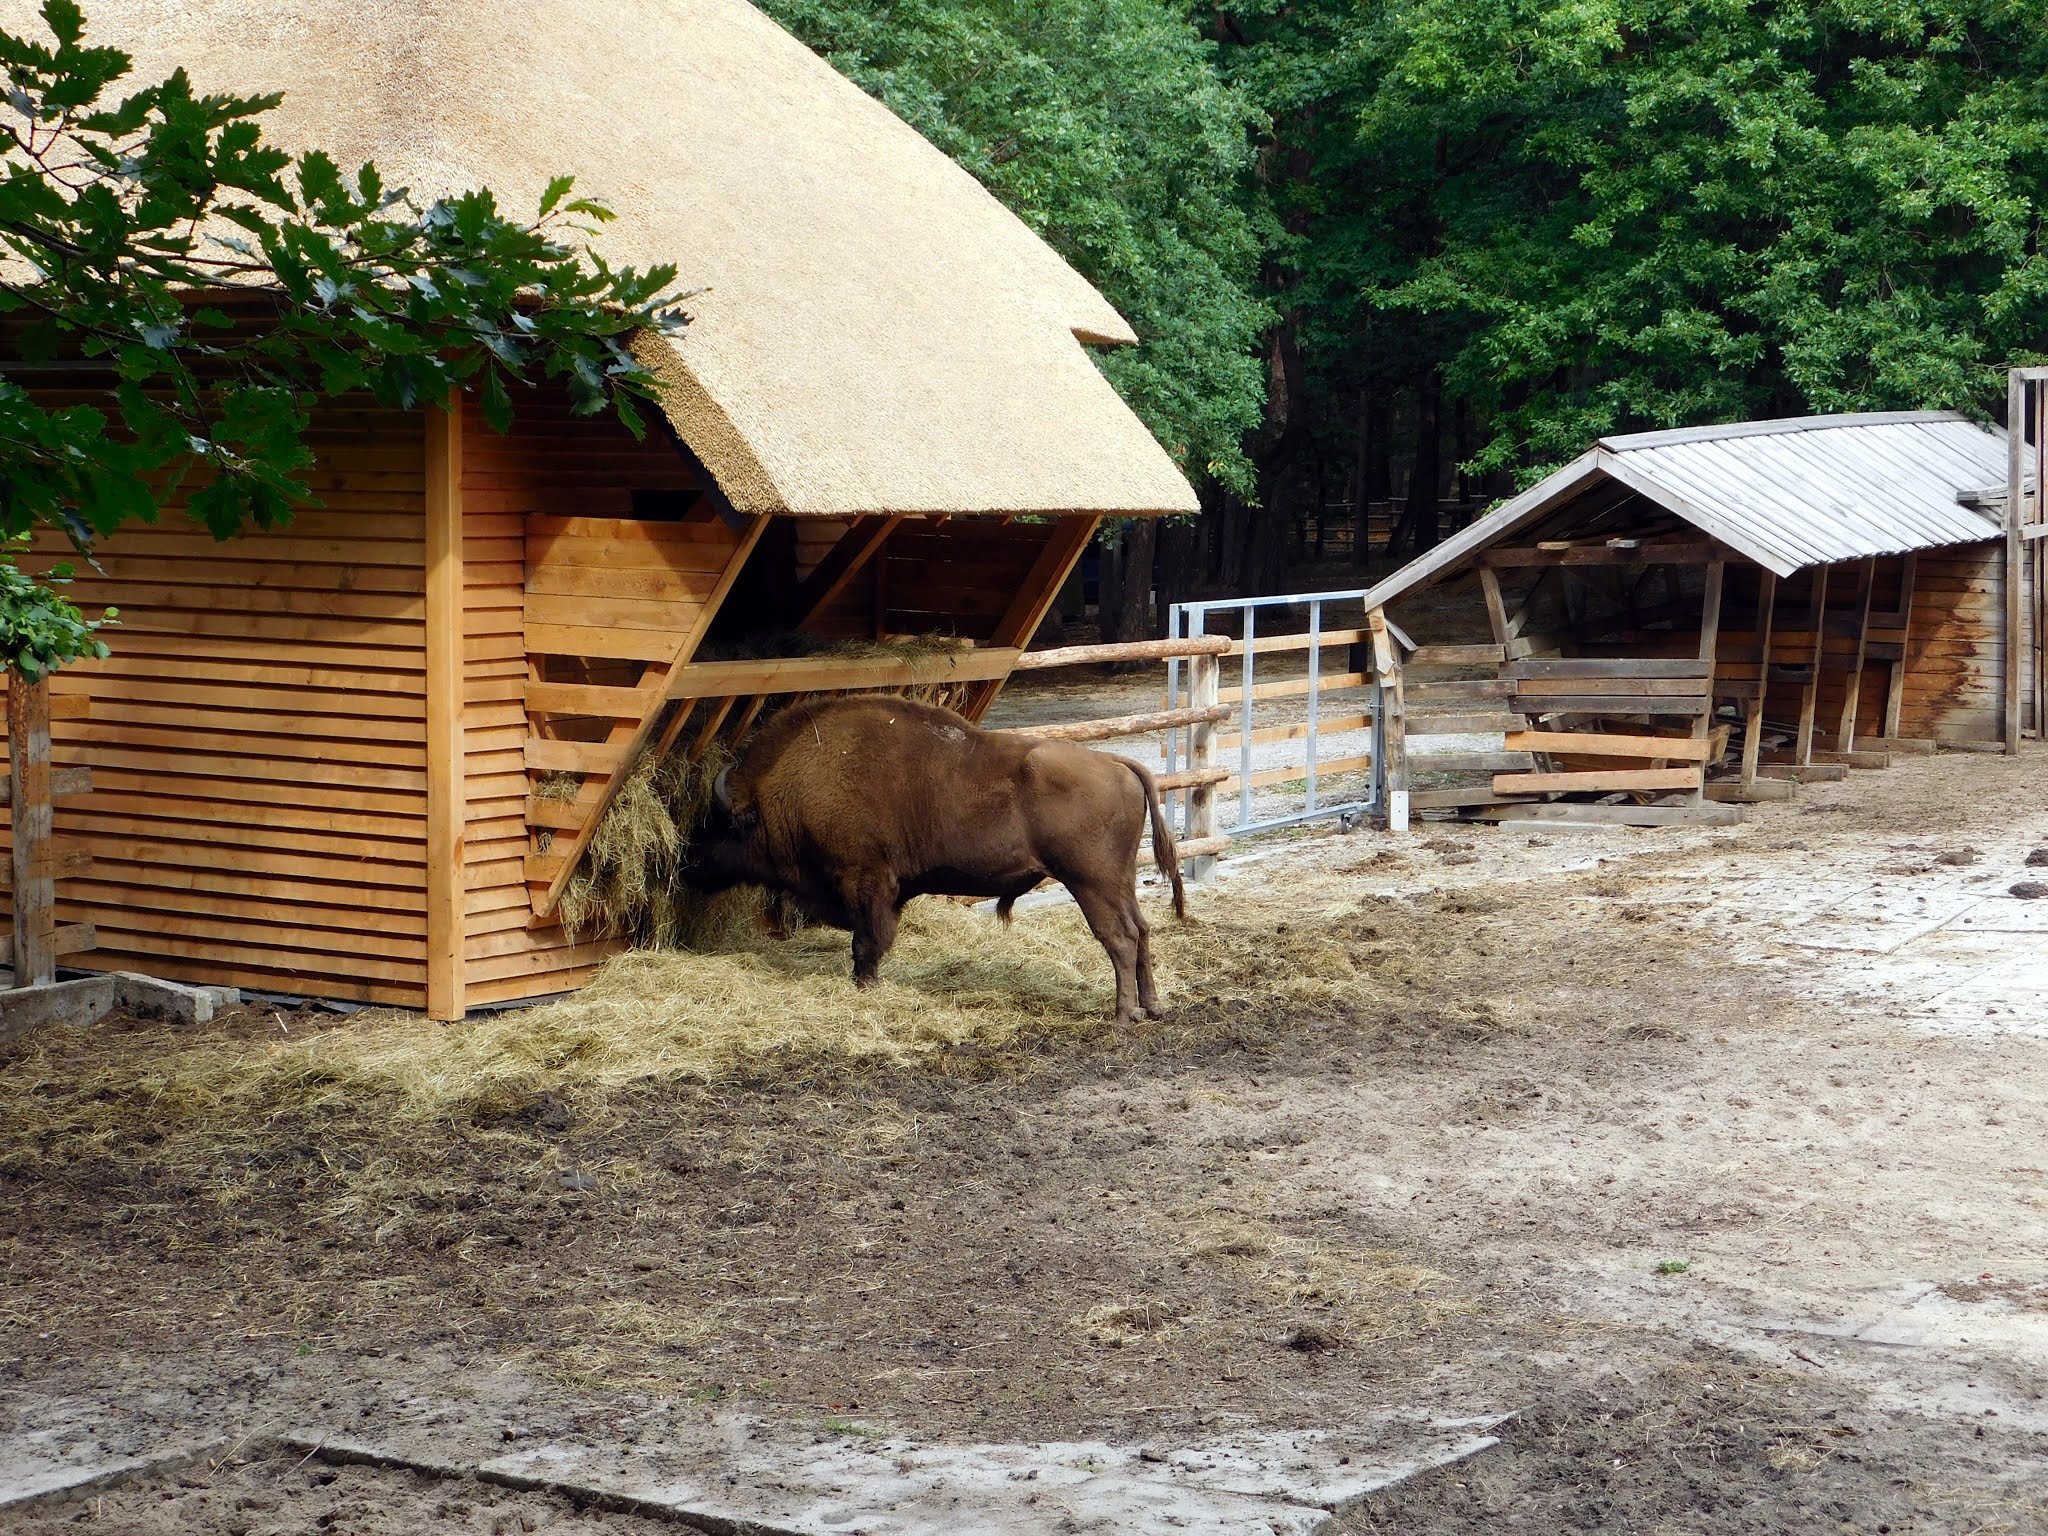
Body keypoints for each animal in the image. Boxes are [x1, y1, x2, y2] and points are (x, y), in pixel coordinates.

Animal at [684, 696, 1187, 1024]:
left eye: (716, 825)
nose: (687, 865)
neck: (791, 784)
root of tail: (1117, 764)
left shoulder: (867, 882)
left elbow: (867, 942)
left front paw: (865, 986)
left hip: (1091, 882)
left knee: (1119, 938)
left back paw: (1123, 1015)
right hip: (1119, 881)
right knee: (1142, 930)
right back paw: (1153, 1006)